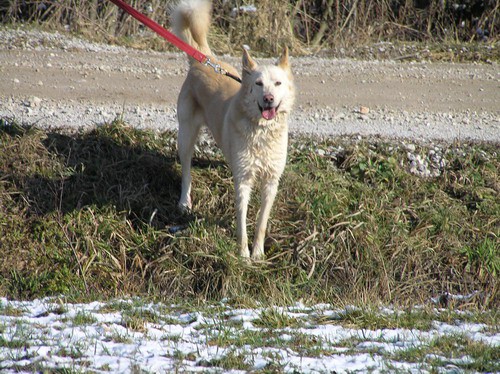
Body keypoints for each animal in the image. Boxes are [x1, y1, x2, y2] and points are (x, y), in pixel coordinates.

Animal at [173, 0, 294, 260]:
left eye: (278, 83)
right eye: (258, 84)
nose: (268, 99)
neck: (261, 132)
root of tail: (202, 60)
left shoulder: (271, 181)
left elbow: (261, 222)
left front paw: (258, 253)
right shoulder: (243, 180)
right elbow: (242, 220)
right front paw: (243, 253)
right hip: (186, 134)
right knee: (186, 170)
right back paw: (184, 202)